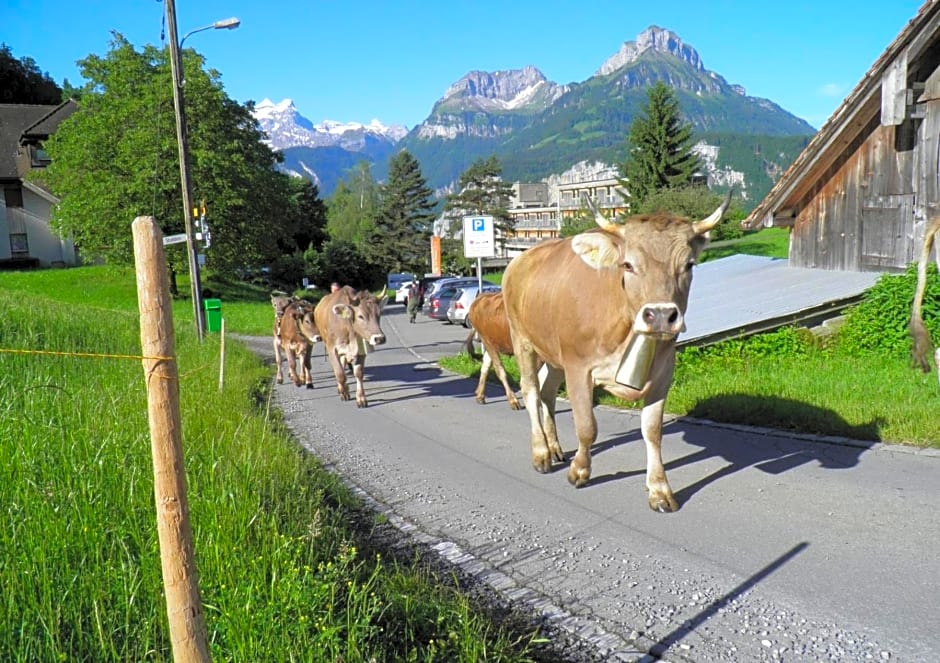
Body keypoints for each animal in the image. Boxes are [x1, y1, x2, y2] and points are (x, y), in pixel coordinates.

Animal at [504, 192, 732, 512]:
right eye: (628, 265)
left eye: (688, 265)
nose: (660, 315)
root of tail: (520, 259)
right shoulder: (578, 367)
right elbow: (587, 426)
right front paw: (580, 471)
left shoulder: (663, 373)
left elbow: (652, 431)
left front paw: (659, 489)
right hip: (522, 338)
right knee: (531, 391)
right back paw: (541, 453)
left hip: (553, 354)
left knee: (547, 393)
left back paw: (555, 446)